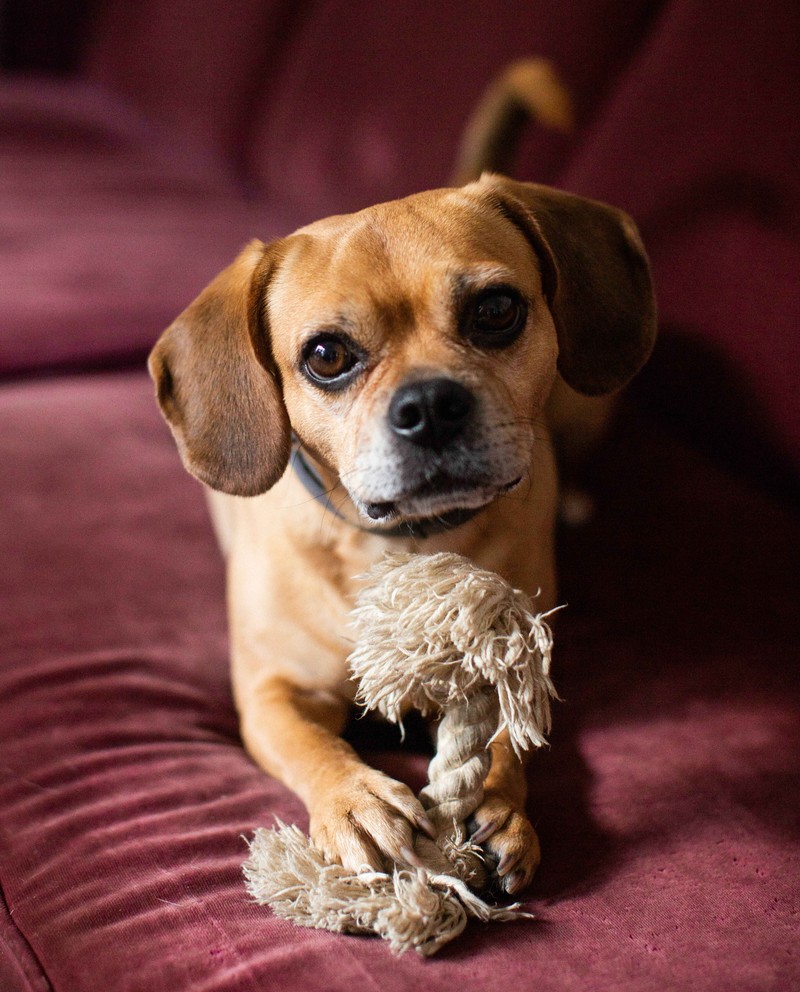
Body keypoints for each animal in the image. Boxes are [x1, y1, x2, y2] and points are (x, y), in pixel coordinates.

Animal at [148, 64, 656, 900]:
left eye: (496, 309)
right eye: (326, 355)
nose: (429, 406)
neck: (403, 549)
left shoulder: (511, 667)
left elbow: (507, 738)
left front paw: (498, 802)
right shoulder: (270, 693)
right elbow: (312, 747)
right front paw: (356, 802)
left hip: (587, 405)